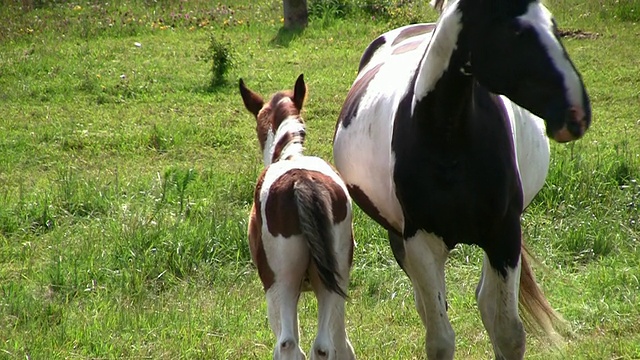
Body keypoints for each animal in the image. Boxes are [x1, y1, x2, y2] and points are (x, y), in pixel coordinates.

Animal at [336, 0, 592, 360]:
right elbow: (440, 338)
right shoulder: (419, 240)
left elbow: (509, 333)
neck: (447, 135)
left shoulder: (504, 233)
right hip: (401, 239)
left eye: (554, 26)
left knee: (486, 302)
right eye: (516, 32)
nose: (577, 112)